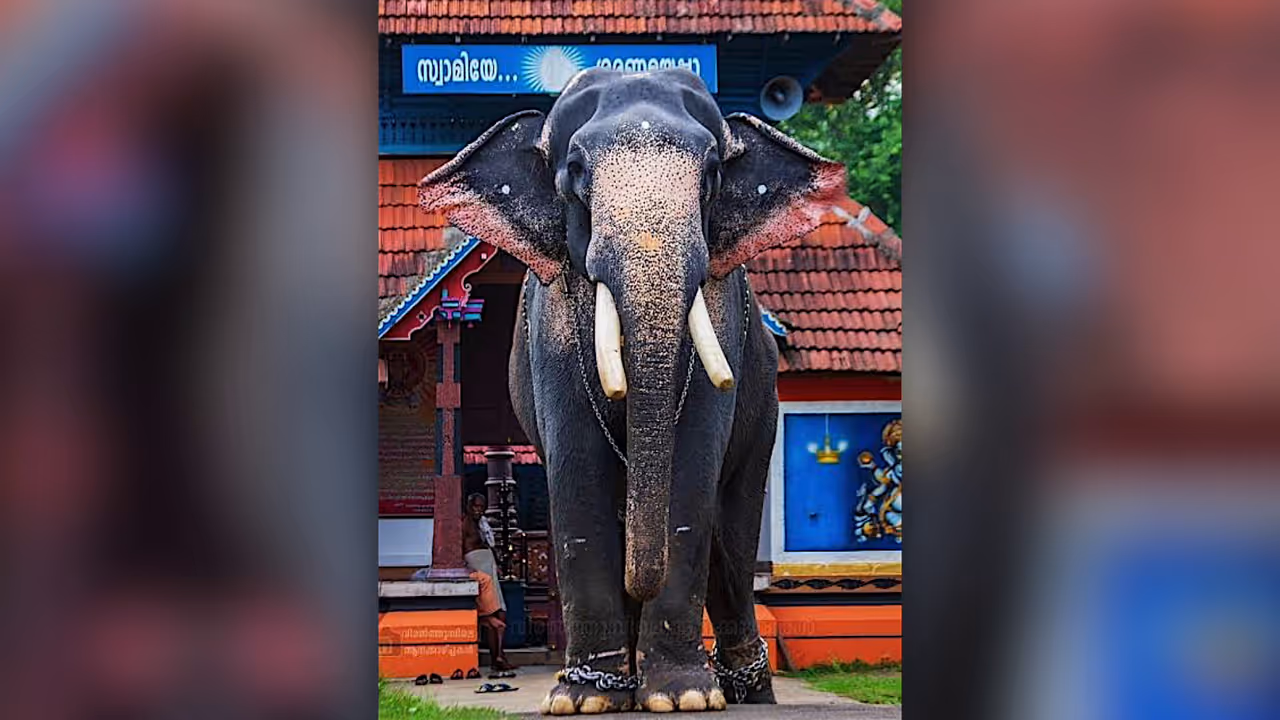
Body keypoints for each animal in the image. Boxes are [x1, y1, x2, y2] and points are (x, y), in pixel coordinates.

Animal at [419, 68, 845, 714]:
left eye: (712, 175)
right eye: (575, 171)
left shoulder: (721, 311)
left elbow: (692, 464)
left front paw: (682, 696)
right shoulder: (552, 321)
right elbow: (577, 464)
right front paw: (582, 699)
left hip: (766, 407)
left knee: (731, 545)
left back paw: (748, 691)